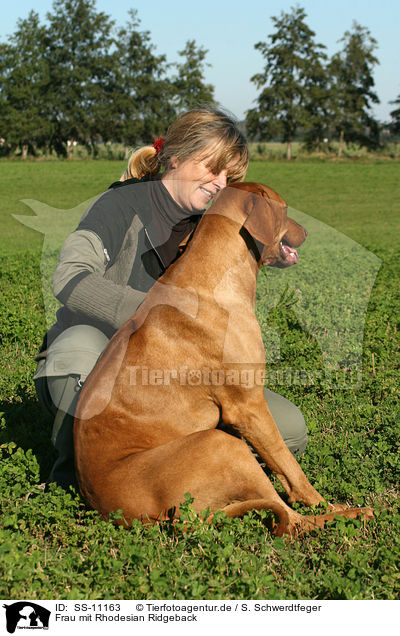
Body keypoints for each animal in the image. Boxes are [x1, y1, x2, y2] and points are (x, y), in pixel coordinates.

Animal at [74, 181, 372, 536]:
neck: (214, 276)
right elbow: (291, 468)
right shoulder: (249, 408)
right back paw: (349, 513)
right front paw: (322, 501)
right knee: (295, 521)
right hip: (221, 444)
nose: (307, 231)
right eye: (285, 209)